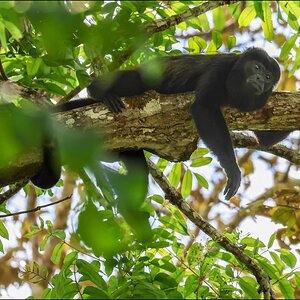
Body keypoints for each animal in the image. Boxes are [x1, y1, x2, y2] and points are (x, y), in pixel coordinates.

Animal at [31, 47, 288, 199]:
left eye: (268, 77)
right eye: (256, 67)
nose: (259, 79)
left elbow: (265, 139)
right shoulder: (221, 69)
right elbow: (203, 107)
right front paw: (232, 169)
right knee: (133, 81)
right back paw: (101, 92)